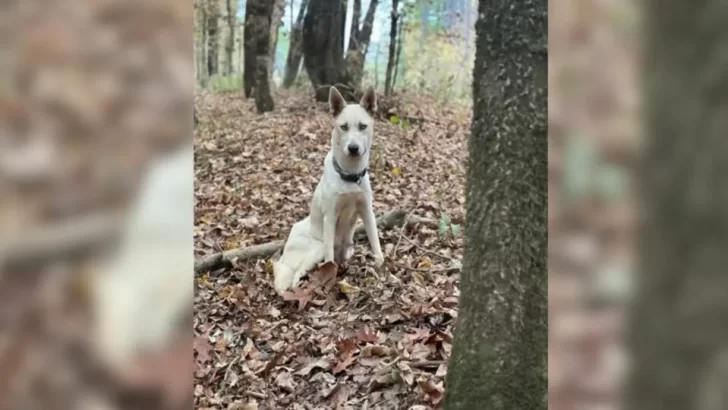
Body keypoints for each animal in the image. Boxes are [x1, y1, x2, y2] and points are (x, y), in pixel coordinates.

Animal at [272, 85, 384, 292]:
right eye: (344, 126)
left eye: (363, 126)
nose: (353, 148)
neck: (349, 176)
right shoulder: (330, 217)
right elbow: (330, 259)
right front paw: (330, 275)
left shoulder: (366, 211)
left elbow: (375, 241)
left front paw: (381, 265)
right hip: (317, 248)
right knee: (295, 275)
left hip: (347, 246)